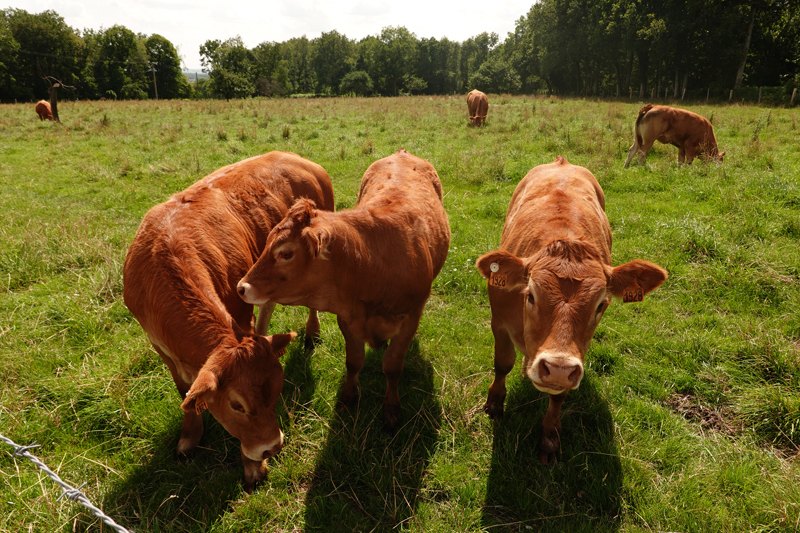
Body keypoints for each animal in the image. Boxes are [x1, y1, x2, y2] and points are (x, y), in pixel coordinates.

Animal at [124, 150, 334, 486]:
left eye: (277, 392)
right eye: (237, 405)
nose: (271, 448)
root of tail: (294, 157)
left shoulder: (239, 312)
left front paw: (252, 466)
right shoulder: (160, 346)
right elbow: (186, 392)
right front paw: (189, 436)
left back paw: (311, 332)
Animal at [238, 148, 450, 430]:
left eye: (285, 253)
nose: (241, 287)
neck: (370, 265)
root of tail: (402, 153)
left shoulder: (409, 319)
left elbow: (393, 366)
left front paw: (391, 408)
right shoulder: (347, 318)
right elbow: (354, 361)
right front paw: (349, 396)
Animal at [476, 156, 668, 464]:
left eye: (601, 305)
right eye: (530, 295)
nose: (556, 369)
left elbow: (558, 397)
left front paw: (549, 438)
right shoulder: (499, 322)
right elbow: (502, 363)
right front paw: (494, 404)